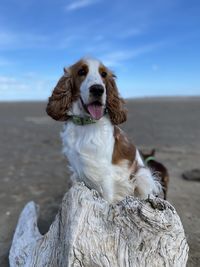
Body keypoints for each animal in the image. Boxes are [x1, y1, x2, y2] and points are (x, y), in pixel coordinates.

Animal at [45, 57, 161, 204]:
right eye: (81, 71)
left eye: (104, 74)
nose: (97, 89)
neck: (86, 125)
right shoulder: (77, 171)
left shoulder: (105, 175)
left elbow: (107, 198)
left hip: (142, 175)